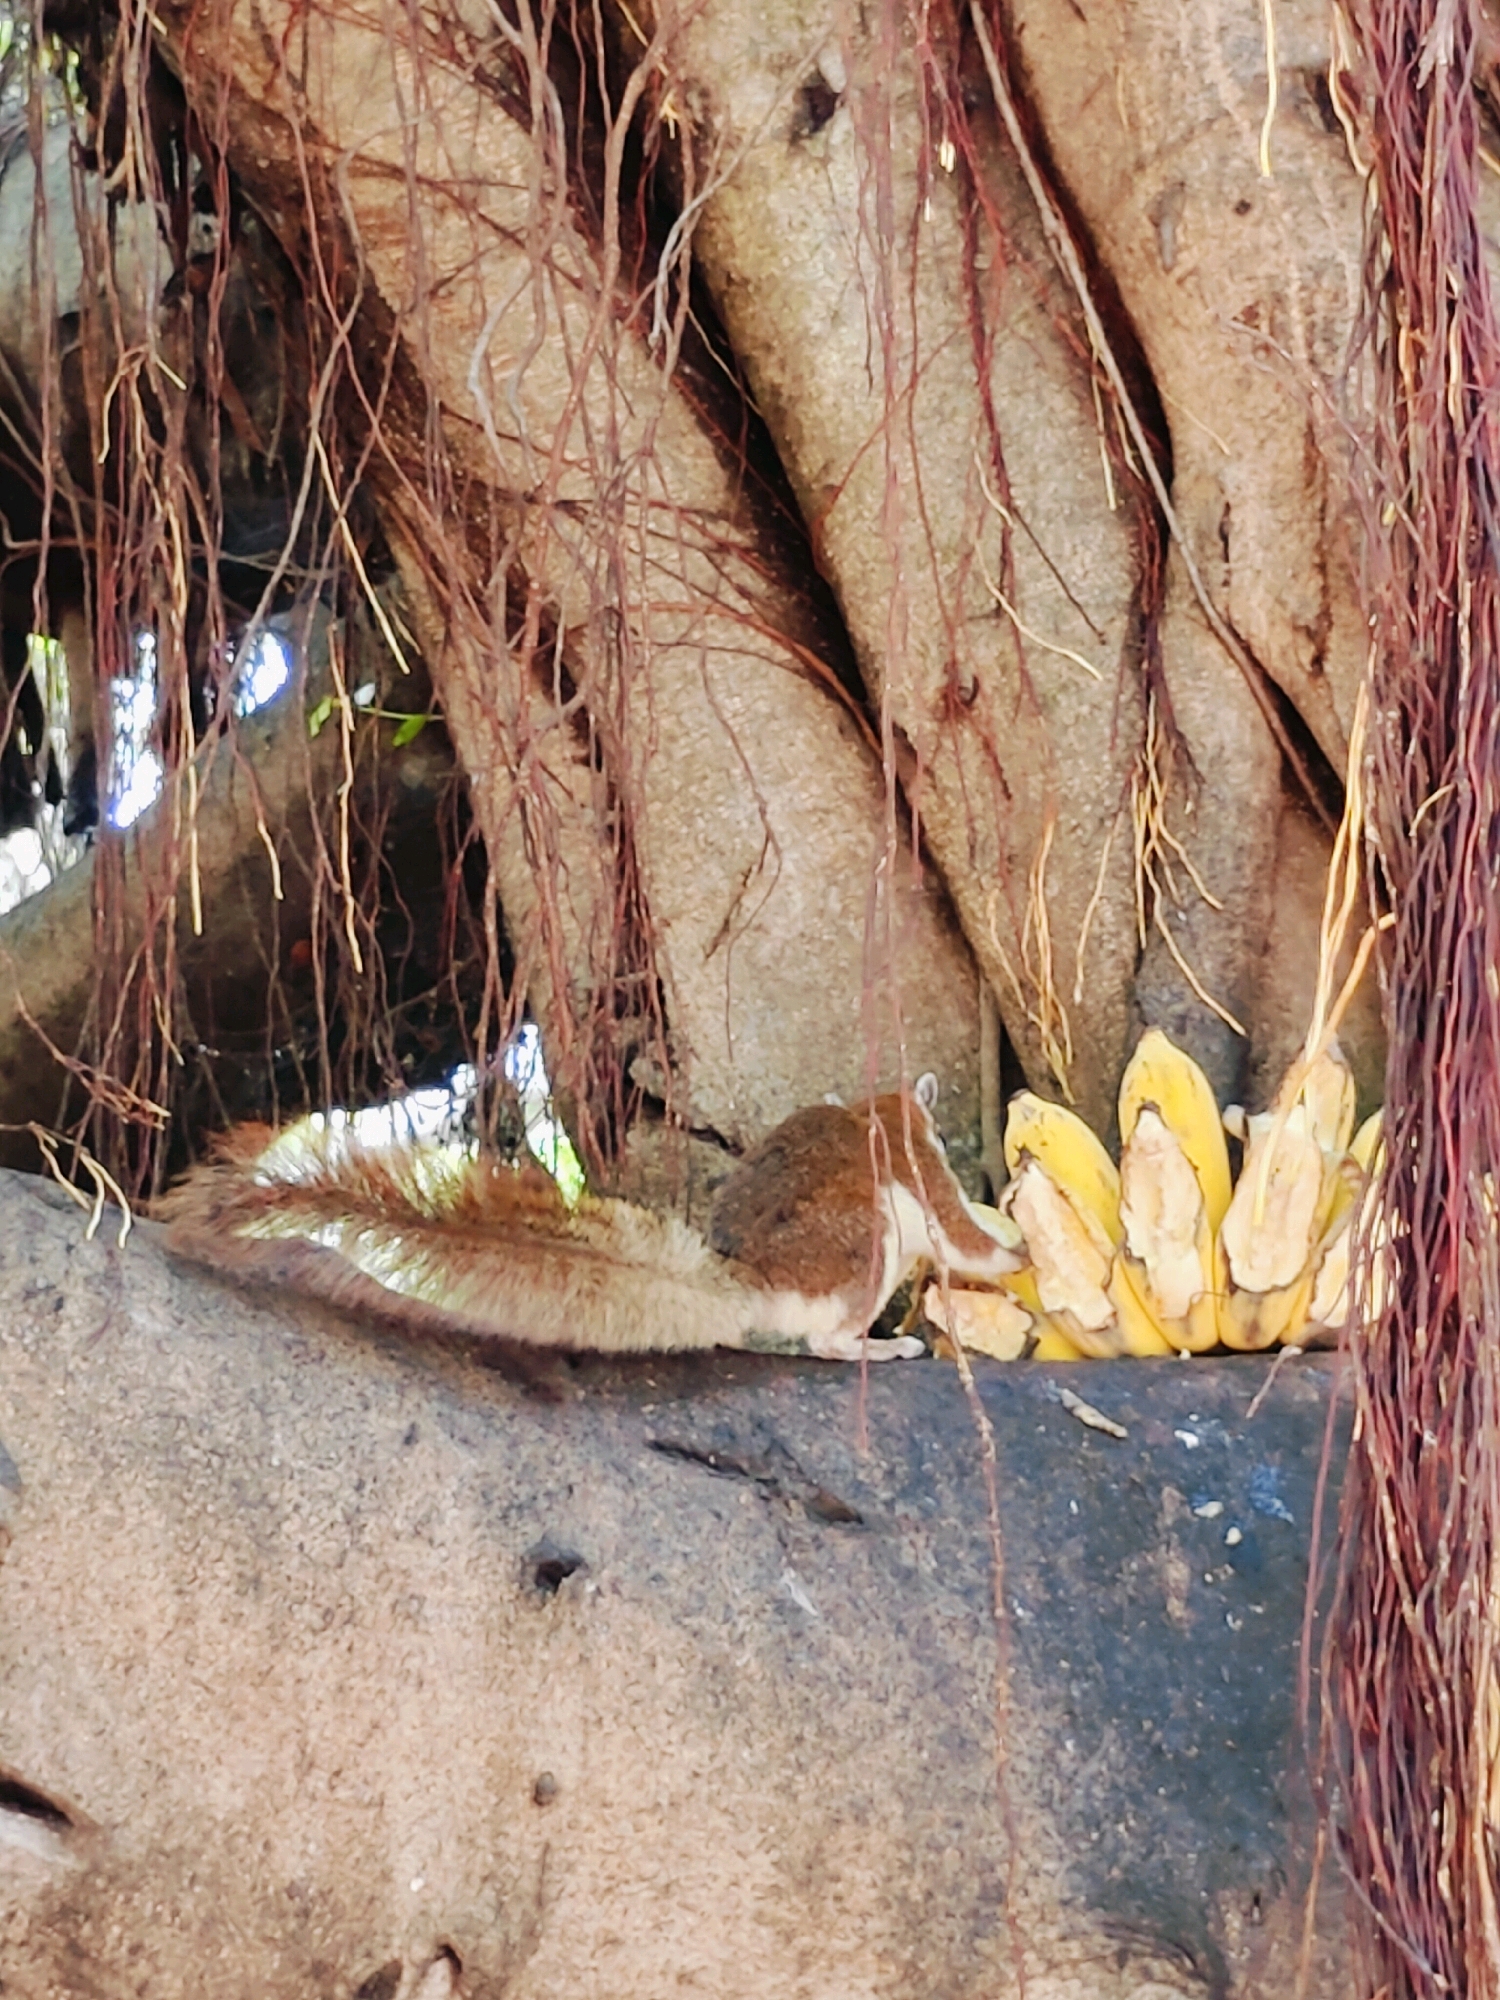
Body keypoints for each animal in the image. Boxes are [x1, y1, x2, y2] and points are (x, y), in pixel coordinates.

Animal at [158, 1073, 1021, 1361]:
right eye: (939, 1133)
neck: (884, 1106)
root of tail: (751, 1285)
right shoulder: (920, 1173)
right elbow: (963, 1236)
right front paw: (1015, 1256)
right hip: (864, 1243)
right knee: (824, 1342)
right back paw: (881, 1349)